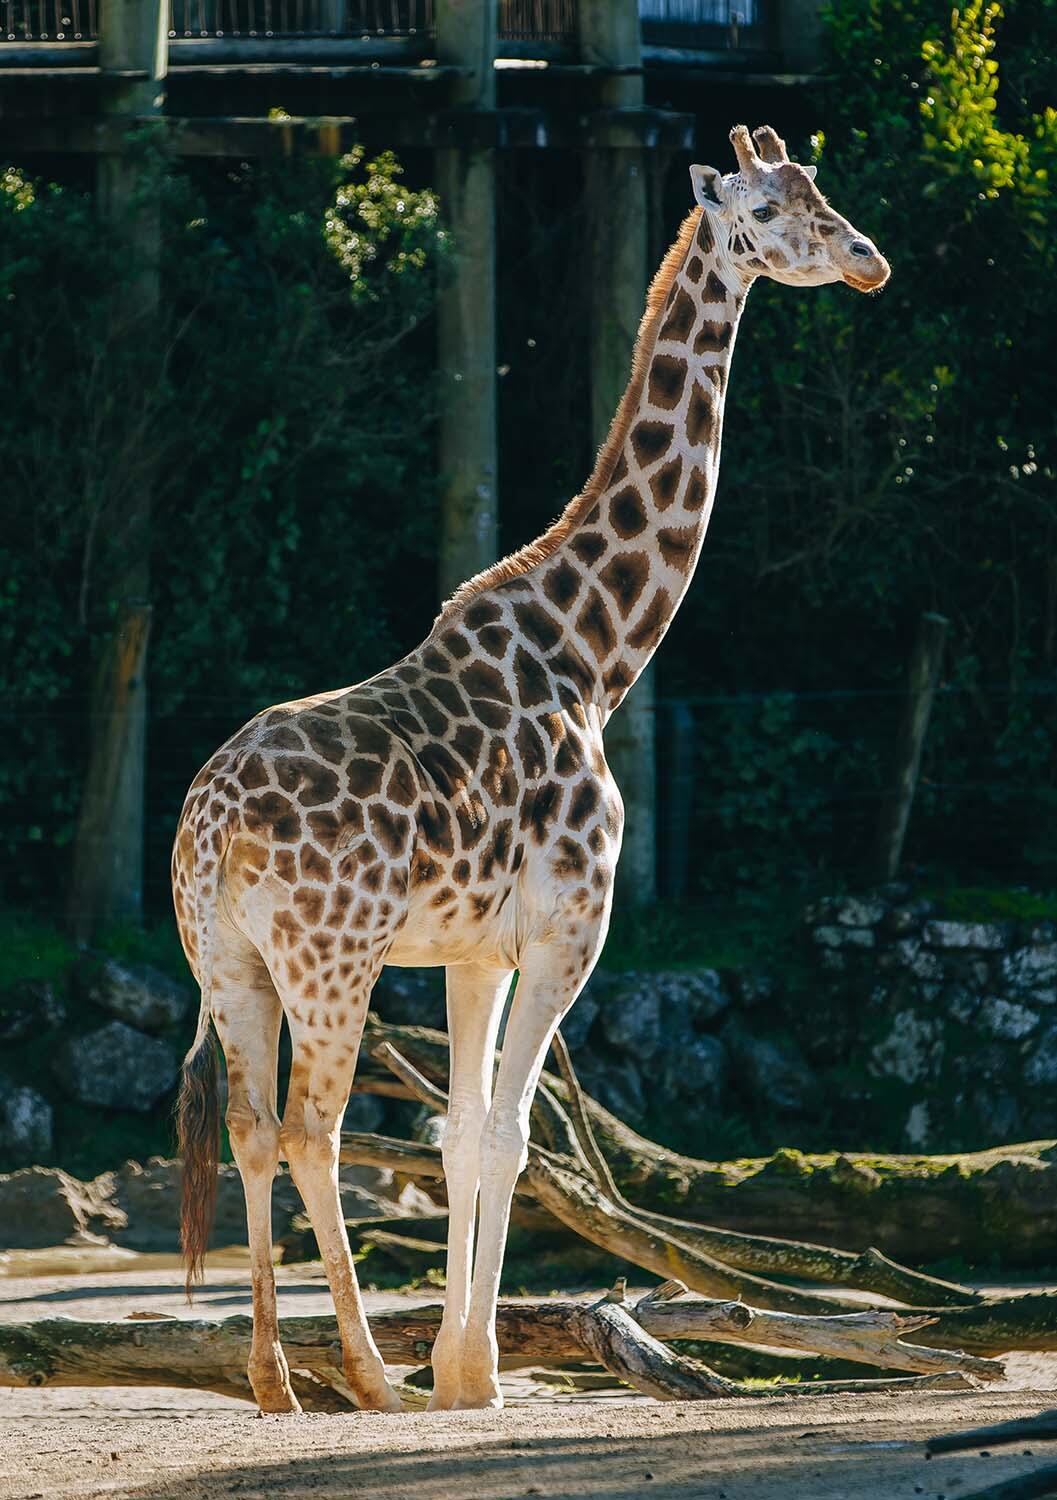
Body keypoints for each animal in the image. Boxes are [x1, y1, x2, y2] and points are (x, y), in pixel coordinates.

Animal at [172, 124, 889, 1416]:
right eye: (766, 210)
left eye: (819, 189)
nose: (868, 259)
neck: (595, 655)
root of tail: (205, 833)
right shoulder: (570, 929)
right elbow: (506, 1135)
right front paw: (471, 1373)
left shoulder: (471, 950)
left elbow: (462, 1133)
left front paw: (465, 1366)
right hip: (331, 962)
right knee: (313, 1131)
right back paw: (366, 1376)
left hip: (229, 965)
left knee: (251, 1129)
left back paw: (275, 1380)